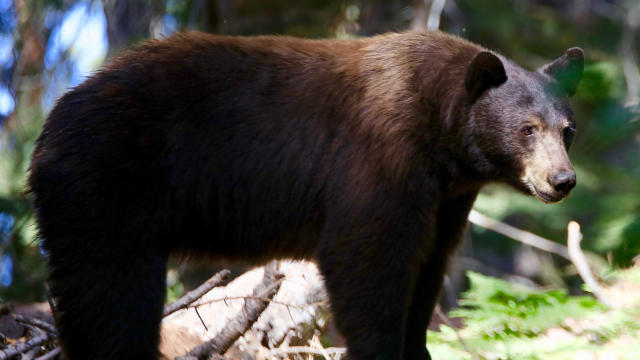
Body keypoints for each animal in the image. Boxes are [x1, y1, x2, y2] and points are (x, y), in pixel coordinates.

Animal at [27, 31, 584, 360]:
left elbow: (427, 267)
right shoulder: (379, 157)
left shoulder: (446, 200)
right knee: (108, 295)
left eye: (567, 130)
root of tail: (51, 123)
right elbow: (364, 257)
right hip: (106, 190)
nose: (563, 180)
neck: (442, 137)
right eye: (527, 129)